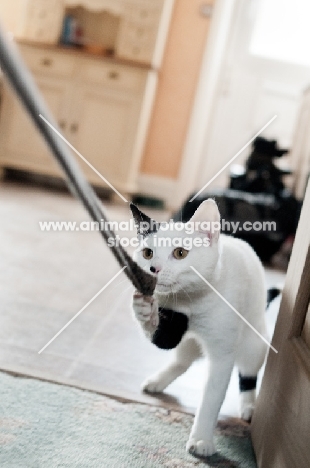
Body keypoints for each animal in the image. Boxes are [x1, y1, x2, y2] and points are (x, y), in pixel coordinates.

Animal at [130, 198, 268, 458]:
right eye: (147, 253)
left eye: (180, 253)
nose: (154, 268)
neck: (191, 302)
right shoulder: (170, 323)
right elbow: (161, 339)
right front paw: (144, 309)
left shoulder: (223, 354)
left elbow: (212, 396)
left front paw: (202, 439)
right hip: (187, 343)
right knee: (182, 360)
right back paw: (157, 381)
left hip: (254, 340)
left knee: (248, 373)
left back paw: (249, 406)